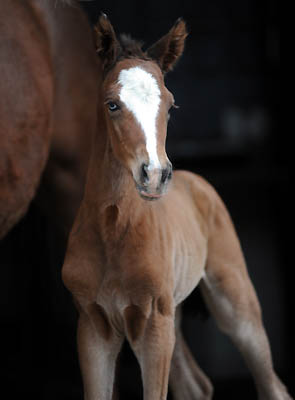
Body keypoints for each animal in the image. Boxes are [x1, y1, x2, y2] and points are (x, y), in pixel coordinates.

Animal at [63, 15, 294, 400]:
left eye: (171, 106)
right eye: (112, 104)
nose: (155, 175)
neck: (113, 230)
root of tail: (194, 180)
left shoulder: (154, 323)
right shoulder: (93, 326)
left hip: (235, 302)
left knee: (271, 383)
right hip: (176, 313)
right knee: (196, 386)